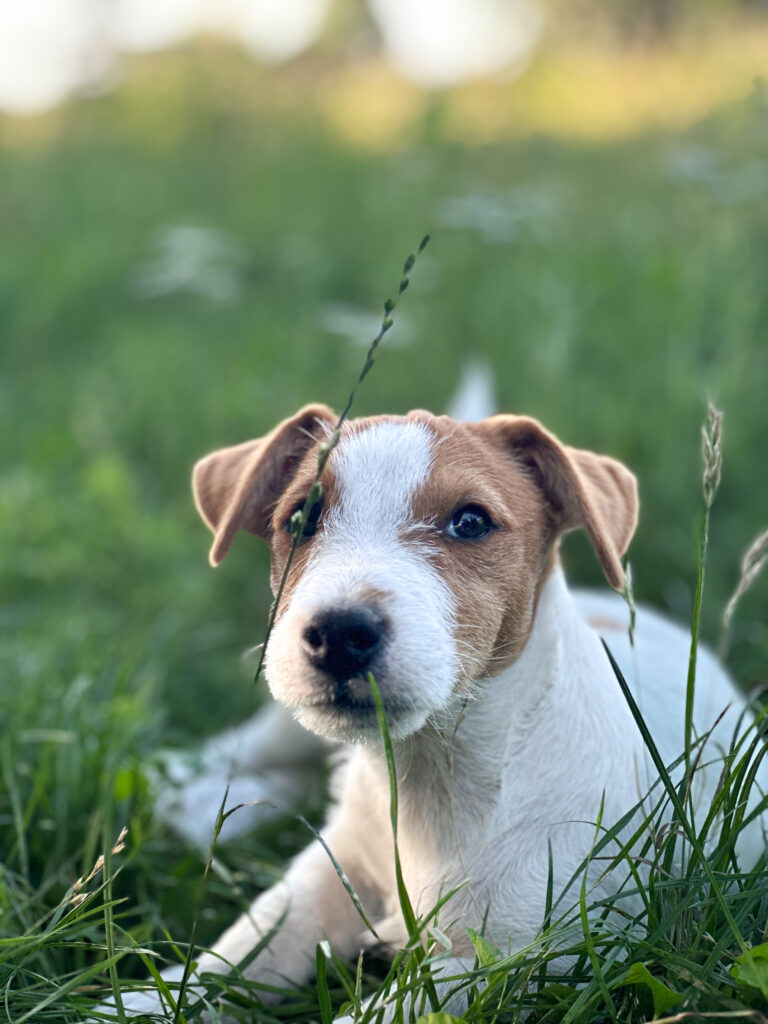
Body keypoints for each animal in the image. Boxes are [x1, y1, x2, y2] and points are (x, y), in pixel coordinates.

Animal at [109, 403, 768, 1019]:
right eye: (300, 518)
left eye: (470, 521)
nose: (340, 633)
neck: (433, 771)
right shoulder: (328, 876)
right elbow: (243, 946)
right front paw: (143, 1002)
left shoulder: (514, 964)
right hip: (282, 733)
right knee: (240, 751)